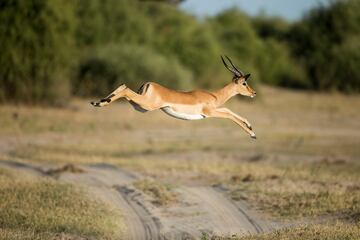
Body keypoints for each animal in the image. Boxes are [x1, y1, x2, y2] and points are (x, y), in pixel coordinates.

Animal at [91, 56, 258, 138]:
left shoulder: (216, 108)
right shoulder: (210, 112)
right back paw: (99, 103)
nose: (253, 93)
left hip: (140, 106)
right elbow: (230, 116)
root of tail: (149, 83)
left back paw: (97, 102)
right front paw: (252, 134)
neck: (215, 95)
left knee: (122, 86)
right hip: (146, 105)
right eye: (244, 83)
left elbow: (230, 111)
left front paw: (250, 126)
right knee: (125, 88)